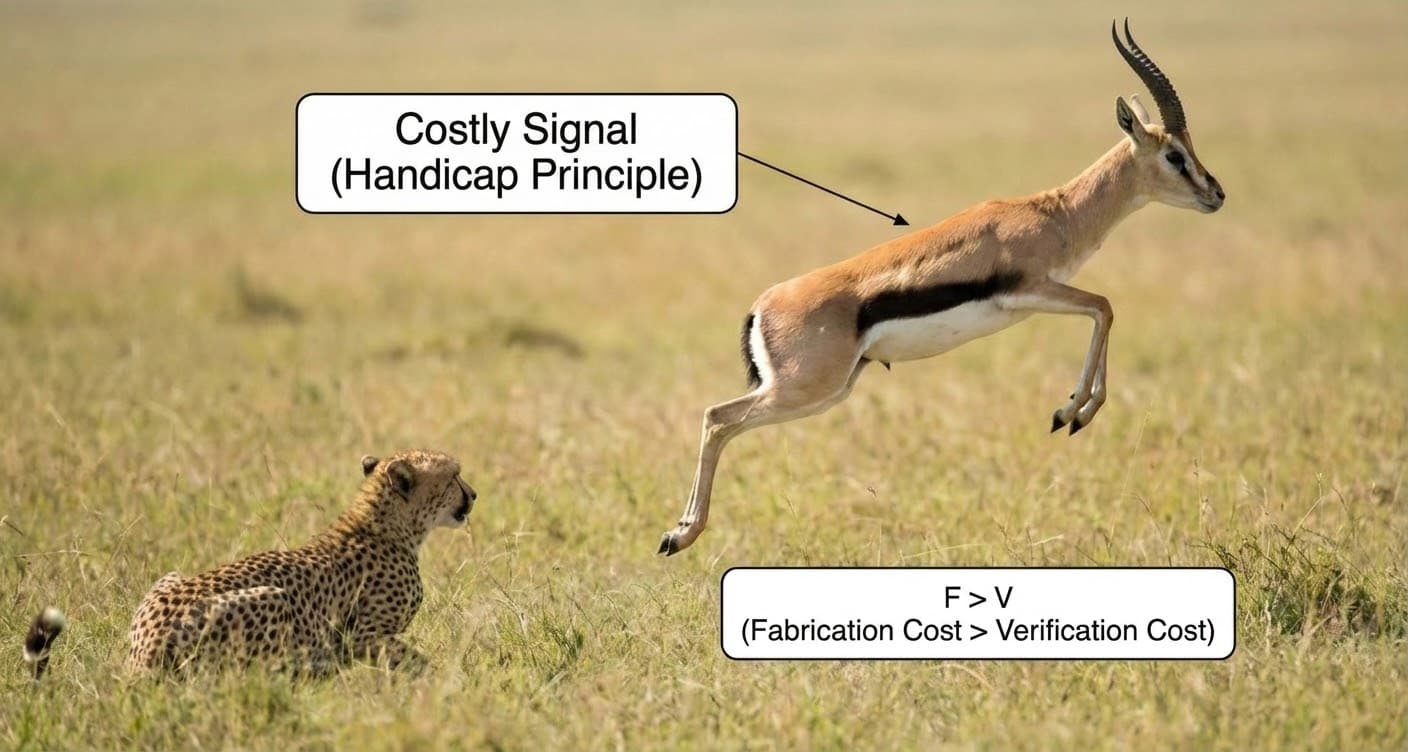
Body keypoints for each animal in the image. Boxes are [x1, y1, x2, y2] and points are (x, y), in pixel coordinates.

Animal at [658, 21, 1225, 556]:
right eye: (1175, 156)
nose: (1216, 193)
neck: (1058, 213)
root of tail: (762, 307)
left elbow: (1102, 312)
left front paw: (1073, 412)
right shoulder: (1031, 292)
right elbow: (1105, 307)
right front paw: (1070, 413)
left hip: (828, 390)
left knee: (721, 420)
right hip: (804, 389)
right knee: (717, 418)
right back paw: (679, 535)